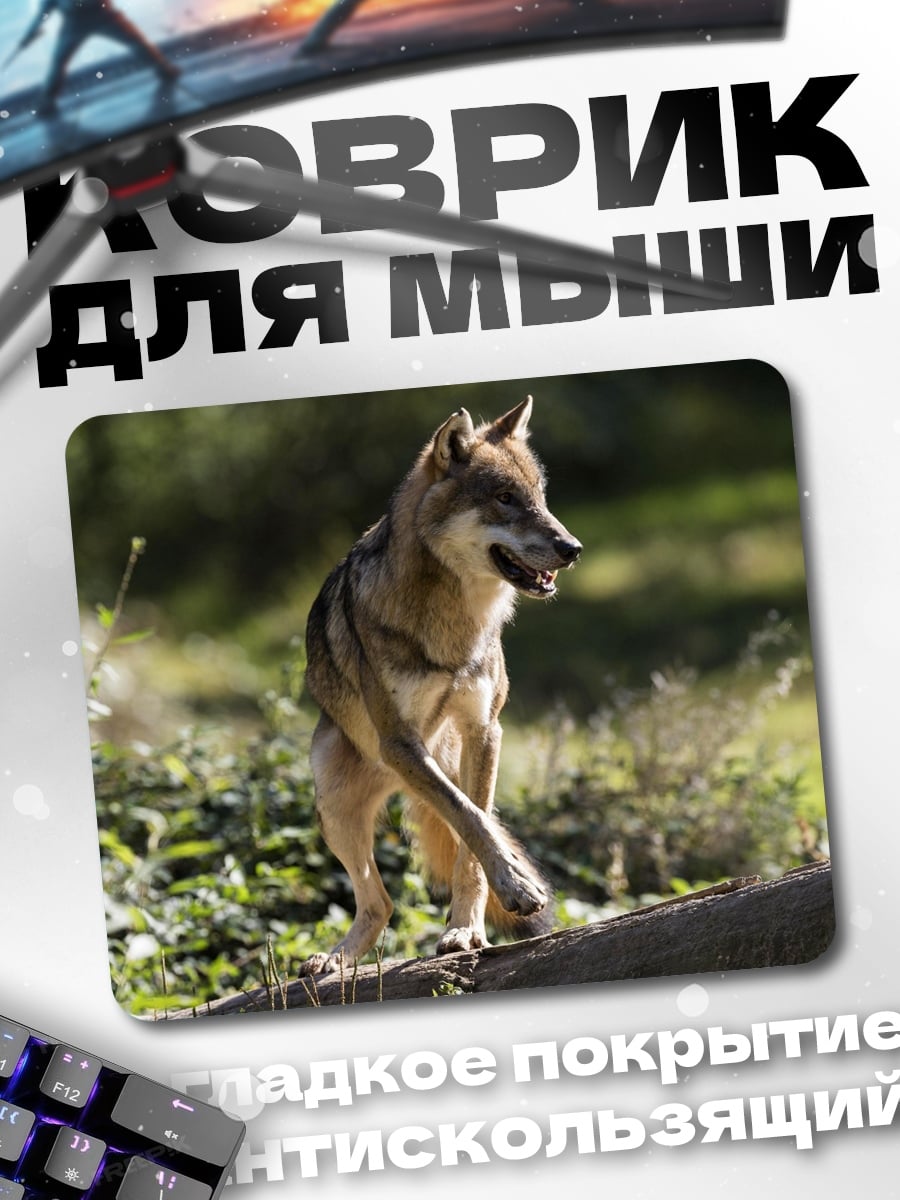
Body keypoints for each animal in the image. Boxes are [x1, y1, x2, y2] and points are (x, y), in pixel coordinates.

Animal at [299, 396, 581, 976]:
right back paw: (334, 960)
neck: (455, 626)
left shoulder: (485, 730)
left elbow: (474, 837)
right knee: (380, 903)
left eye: (540, 497)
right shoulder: (401, 742)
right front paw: (514, 890)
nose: (573, 547)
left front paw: (466, 931)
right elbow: (470, 820)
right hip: (335, 806)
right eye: (504, 498)